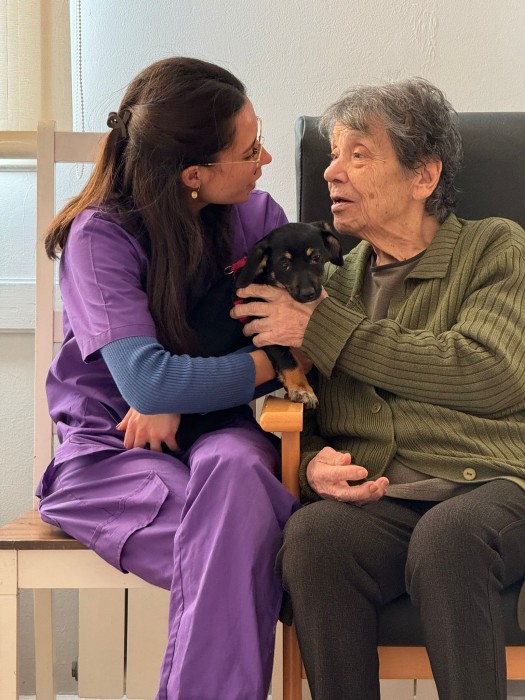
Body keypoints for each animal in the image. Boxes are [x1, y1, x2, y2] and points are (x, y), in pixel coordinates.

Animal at [175, 221, 344, 449]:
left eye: (316, 257)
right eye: (284, 265)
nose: (309, 294)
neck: (266, 280)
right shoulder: (264, 328)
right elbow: (289, 360)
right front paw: (302, 389)